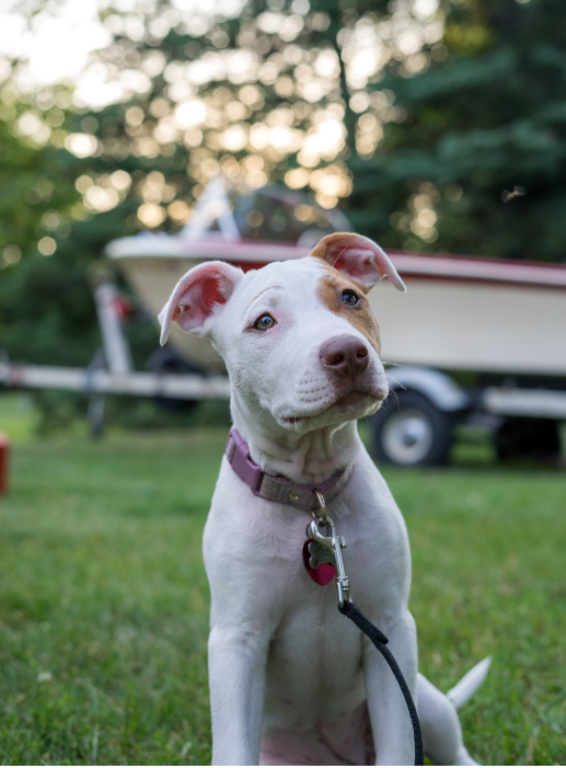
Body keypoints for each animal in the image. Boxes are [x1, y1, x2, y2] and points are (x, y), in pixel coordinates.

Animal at [158, 232, 490, 760]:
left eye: (350, 298)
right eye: (264, 321)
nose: (348, 352)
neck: (310, 494)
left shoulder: (391, 627)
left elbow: (400, 746)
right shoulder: (236, 641)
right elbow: (233, 748)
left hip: (423, 696)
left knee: (451, 749)